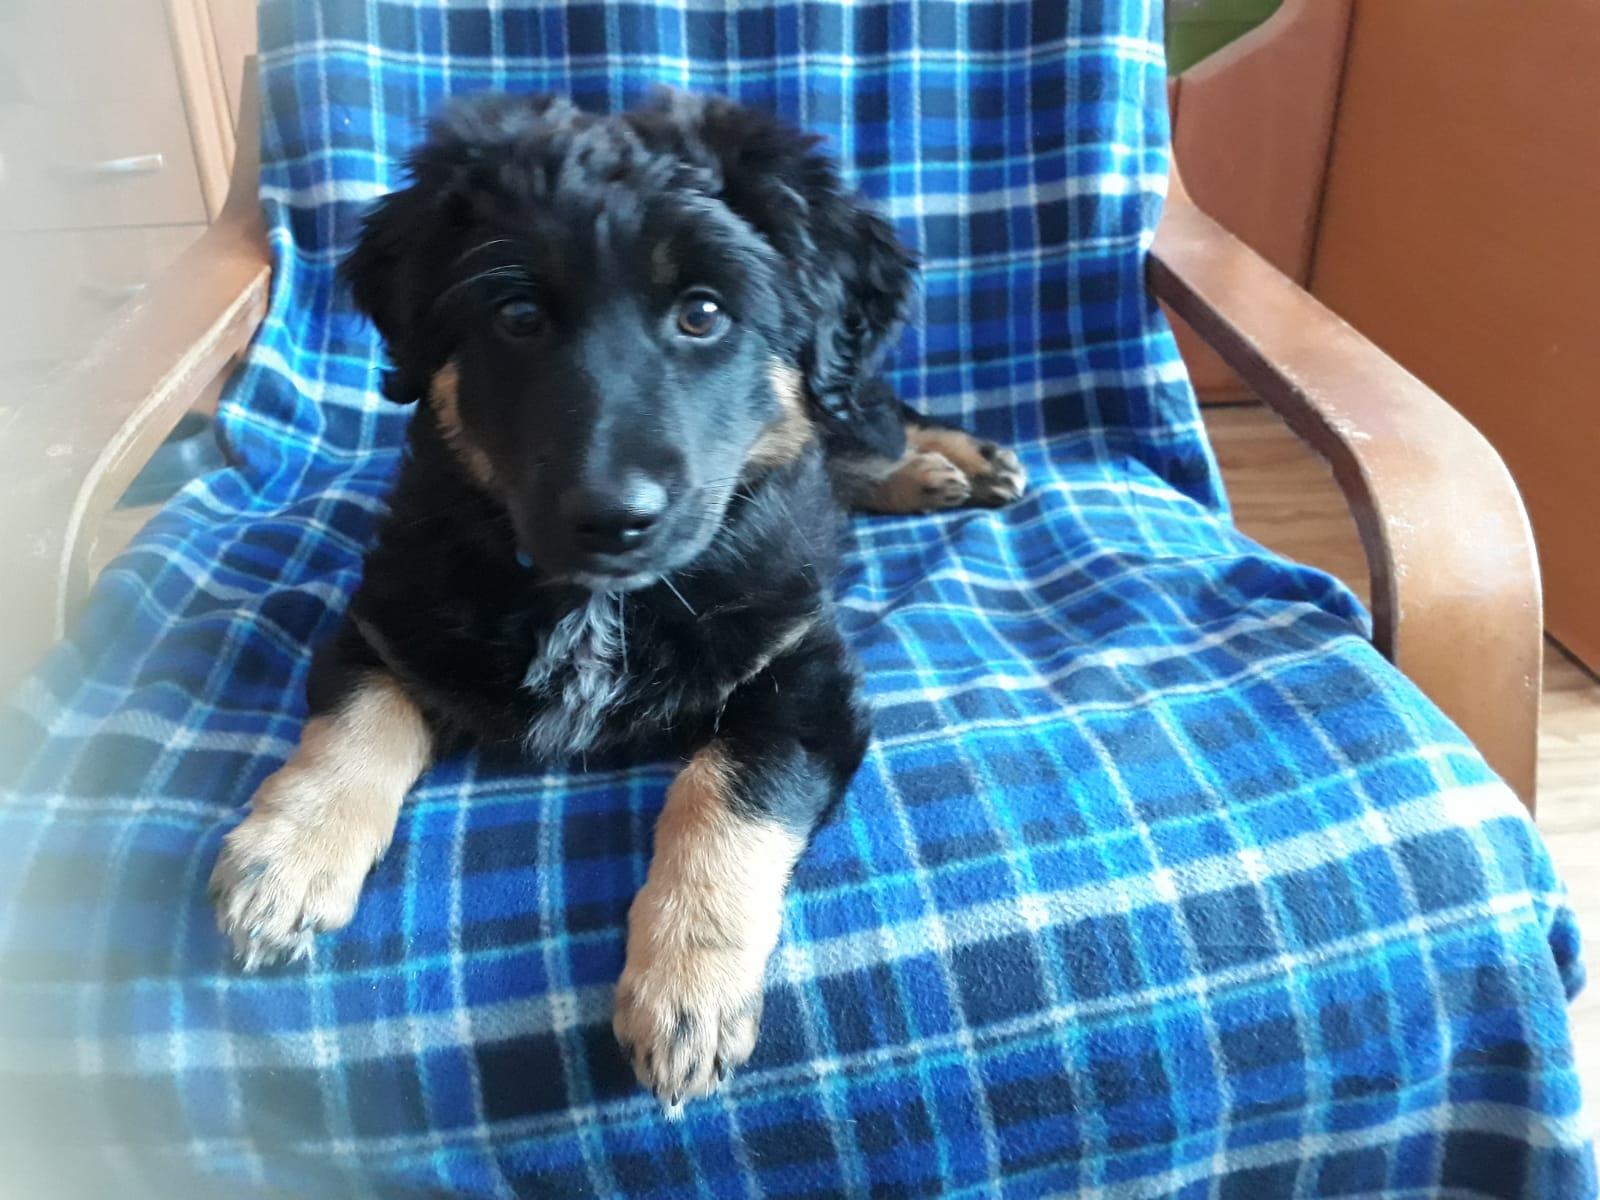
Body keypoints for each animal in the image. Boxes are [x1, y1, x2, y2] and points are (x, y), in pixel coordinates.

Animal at [209, 90, 1026, 1111]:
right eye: (517, 315)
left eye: (704, 313)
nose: (613, 519)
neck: (596, 602)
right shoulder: (393, 613)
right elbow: (354, 724)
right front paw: (285, 858)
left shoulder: (804, 670)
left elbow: (724, 792)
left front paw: (687, 989)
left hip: (841, 399)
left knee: (870, 416)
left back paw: (960, 463)